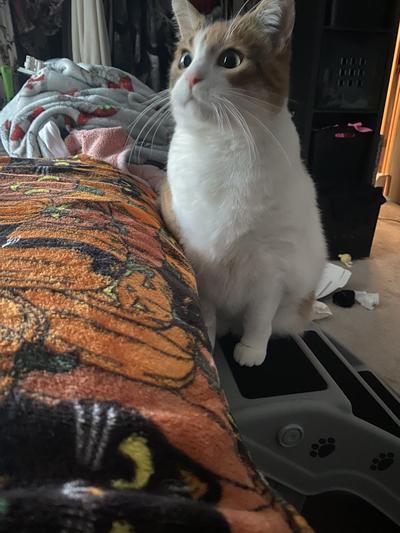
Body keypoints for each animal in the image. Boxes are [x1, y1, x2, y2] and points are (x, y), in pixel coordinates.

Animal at [161, 0, 327, 367]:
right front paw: (207, 340)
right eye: (185, 59)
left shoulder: (271, 269)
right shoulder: (199, 261)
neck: (220, 146)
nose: (191, 77)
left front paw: (251, 349)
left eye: (230, 60)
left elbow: (259, 318)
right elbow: (207, 310)